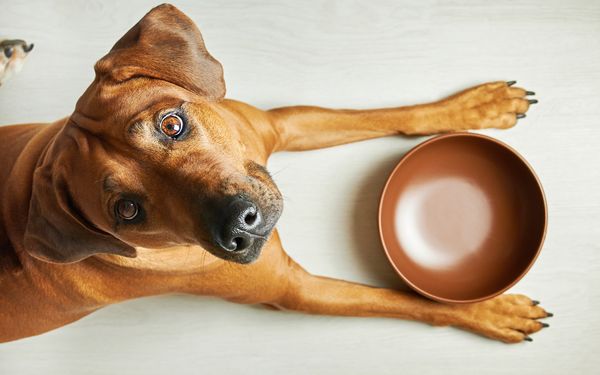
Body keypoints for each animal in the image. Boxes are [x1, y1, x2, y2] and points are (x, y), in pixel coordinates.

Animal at [0, 3, 548, 344]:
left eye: (172, 124)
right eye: (128, 211)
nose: (237, 225)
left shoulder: (276, 126)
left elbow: (388, 114)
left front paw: (475, 105)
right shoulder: (297, 291)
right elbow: (405, 301)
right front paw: (489, 310)